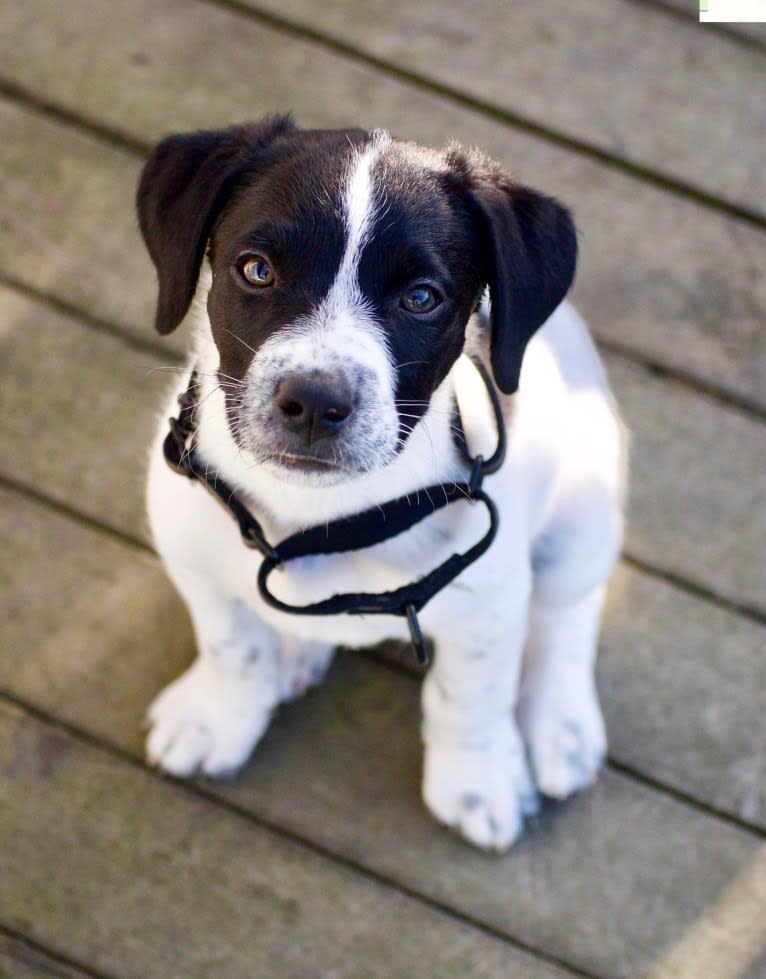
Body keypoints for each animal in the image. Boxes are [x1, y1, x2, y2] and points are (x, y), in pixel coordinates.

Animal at [138, 115, 628, 848]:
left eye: (421, 298)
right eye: (256, 269)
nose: (315, 401)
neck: (322, 517)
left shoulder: (488, 602)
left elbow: (469, 696)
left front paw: (478, 780)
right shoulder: (195, 558)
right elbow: (233, 646)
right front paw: (220, 714)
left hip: (583, 509)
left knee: (568, 610)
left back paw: (561, 724)